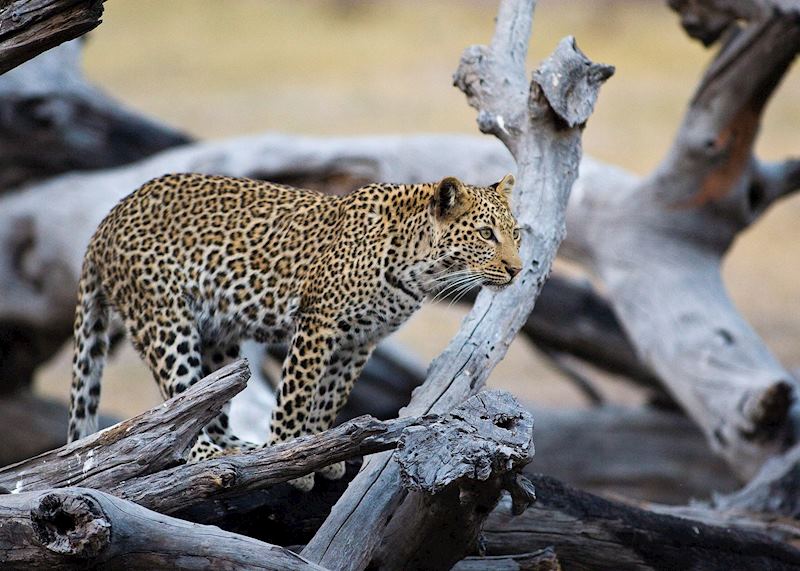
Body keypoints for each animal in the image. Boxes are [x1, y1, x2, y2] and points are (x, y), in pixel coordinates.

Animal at [67, 171, 522, 490]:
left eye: (516, 234)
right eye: (485, 234)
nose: (518, 269)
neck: (418, 267)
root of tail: (108, 220)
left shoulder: (359, 340)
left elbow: (329, 397)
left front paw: (324, 454)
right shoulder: (317, 323)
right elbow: (296, 396)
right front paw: (288, 460)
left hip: (217, 336)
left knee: (210, 403)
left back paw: (239, 450)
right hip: (165, 319)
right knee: (179, 401)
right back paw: (210, 455)